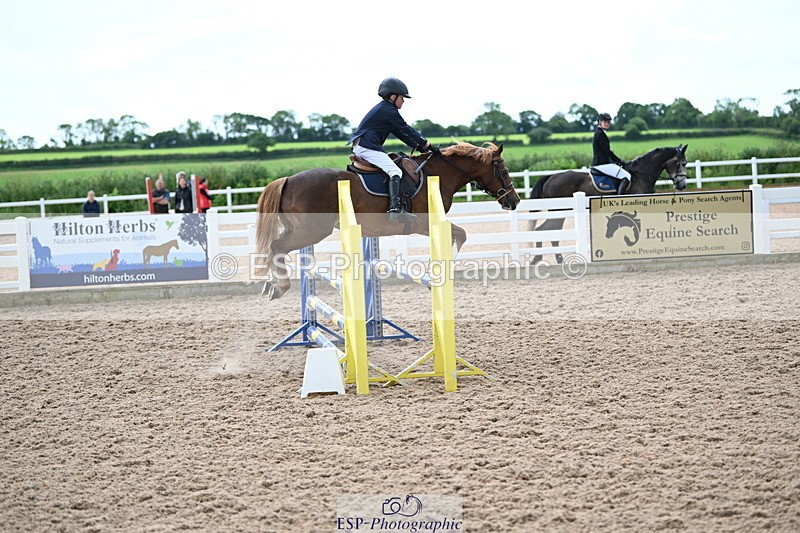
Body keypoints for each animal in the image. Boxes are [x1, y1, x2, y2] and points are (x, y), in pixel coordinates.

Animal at [255, 142, 521, 300]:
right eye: (504, 171)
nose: (515, 201)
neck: (438, 174)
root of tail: (288, 179)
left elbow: (459, 235)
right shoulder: (423, 223)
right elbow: (461, 235)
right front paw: (437, 278)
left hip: (299, 230)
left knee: (276, 248)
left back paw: (272, 284)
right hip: (312, 231)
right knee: (276, 247)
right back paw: (279, 286)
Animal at [528, 144, 689, 263]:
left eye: (685, 163)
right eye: (681, 163)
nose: (682, 185)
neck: (641, 175)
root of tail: (550, 177)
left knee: (546, 230)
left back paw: (547, 258)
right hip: (560, 211)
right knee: (545, 230)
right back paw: (544, 258)